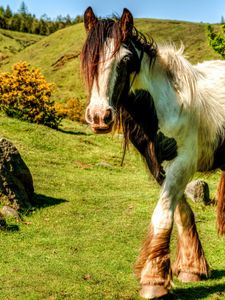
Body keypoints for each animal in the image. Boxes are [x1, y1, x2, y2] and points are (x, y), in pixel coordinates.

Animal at [80, 6, 225, 298]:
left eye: (125, 59)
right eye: (89, 56)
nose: (99, 116)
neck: (169, 104)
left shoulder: (183, 163)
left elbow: (162, 214)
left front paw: (154, 281)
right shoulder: (160, 165)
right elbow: (180, 213)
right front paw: (191, 268)